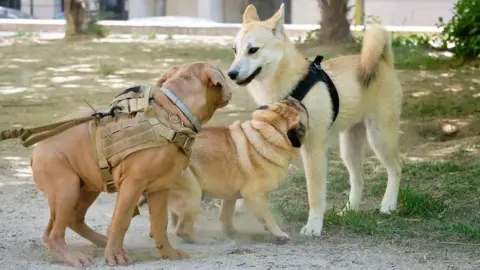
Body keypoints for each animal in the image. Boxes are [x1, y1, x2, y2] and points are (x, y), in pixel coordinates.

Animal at [29, 62, 232, 266]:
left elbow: (160, 222)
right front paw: (115, 255)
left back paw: (99, 241)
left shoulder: (160, 188)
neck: (174, 112)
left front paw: (168, 252)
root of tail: (35, 151)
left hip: (86, 188)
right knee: (56, 233)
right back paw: (74, 256)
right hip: (67, 190)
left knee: (68, 222)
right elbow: (121, 221)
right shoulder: (133, 184)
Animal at [141, 98, 310, 244]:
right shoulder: (254, 197)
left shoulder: (230, 197)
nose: (297, 99)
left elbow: (226, 217)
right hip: (192, 196)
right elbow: (268, 218)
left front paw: (231, 233)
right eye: (300, 109)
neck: (267, 131)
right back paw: (204, 241)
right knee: (182, 229)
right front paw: (279, 234)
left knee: (173, 222)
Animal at [227, 3, 404, 236]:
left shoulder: (313, 150)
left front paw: (313, 225)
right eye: (235, 50)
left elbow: (314, 194)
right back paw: (350, 210)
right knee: (358, 178)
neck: (289, 86)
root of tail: (383, 62)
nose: (230, 73)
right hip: (350, 147)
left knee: (396, 168)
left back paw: (388, 205)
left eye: (253, 50)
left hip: (380, 137)